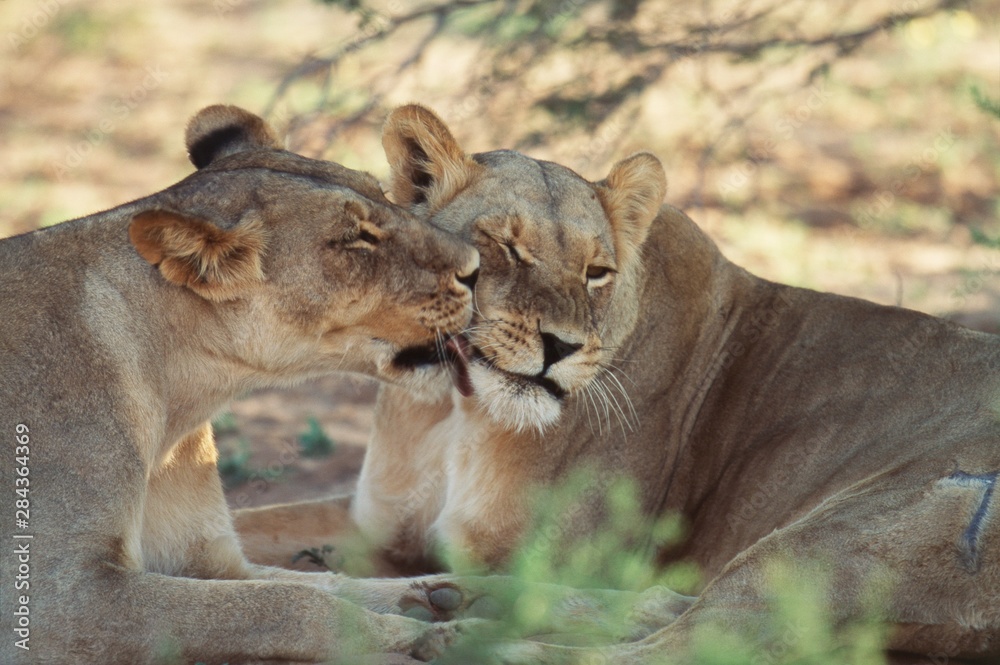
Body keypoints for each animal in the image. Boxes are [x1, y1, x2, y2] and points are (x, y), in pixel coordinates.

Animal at [0, 104, 488, 665]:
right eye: (356, 238)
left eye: (384, 194)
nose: (478, 267)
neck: (179, 398)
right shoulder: (57, 595)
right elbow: (291, 604)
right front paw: (431, 638)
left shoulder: (209, 560)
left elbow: (335, 585)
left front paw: (475, 601)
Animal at [235, 105, 1000, 663]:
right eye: (506, 246)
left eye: (596, 271)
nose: (561, 347)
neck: (453, 410)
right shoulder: (377, 525)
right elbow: (252, 528)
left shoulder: (555, 552)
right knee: (670, 610)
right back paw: (460, 603)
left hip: (823, 544)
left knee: (673, 646)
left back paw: (461, 630)